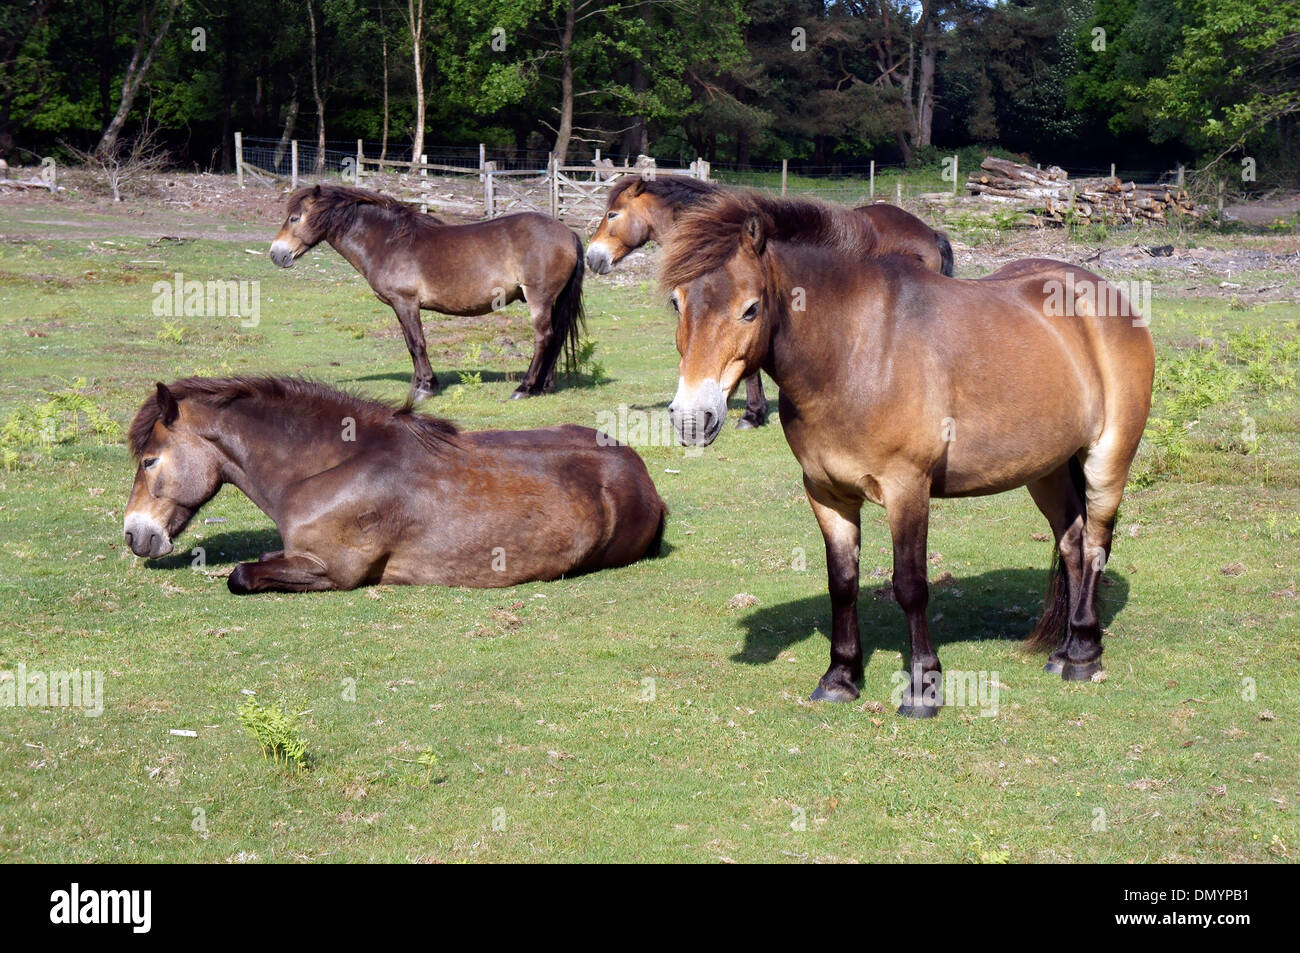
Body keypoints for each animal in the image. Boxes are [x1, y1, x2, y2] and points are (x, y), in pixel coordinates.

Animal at [124, 374, 670, 590]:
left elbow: (241, 574)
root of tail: (640, 472)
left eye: (149, 460)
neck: (335, 466)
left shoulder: (333, 572)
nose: (133, 534)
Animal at [269, 184, 585, 400]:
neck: (387, 241)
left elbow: (418, 343)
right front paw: (419, 383)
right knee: (556, 337)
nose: (276, 254)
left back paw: (525, 387)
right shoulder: (399, 306)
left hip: (539, 298)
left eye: (295, 218)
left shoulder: (406, 303)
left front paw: (427, 388)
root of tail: (568, 233)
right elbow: (411, 344)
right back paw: (545, 385)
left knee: (543, 338)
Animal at [665, 191, 1154, 712]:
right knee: (1073, 545)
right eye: (677, 303)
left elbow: (911, 586)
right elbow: (842, 583)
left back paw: (1083, 652)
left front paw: (924, 686)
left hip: (1108, 458)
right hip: (1047, 469)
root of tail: (1104, 294)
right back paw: (1064, 651)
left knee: (1097, 543)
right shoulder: (827, 494)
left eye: (751, 309)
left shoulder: (907, 489)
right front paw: (840, 676)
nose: (691, 418)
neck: (856, 352)